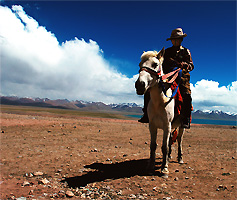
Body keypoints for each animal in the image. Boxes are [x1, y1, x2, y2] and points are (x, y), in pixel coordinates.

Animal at [135, 47, 185, 177]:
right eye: (140, 65)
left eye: (155, 64)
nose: (139, 85)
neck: (159, 102)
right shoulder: (152, 125)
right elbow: (154, 145)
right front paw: (150, 166)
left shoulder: (167, 125)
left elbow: (164, 147)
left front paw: (164, 168)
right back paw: (169, 157)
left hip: (182, 126)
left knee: (179, 140)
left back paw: (180, 158)